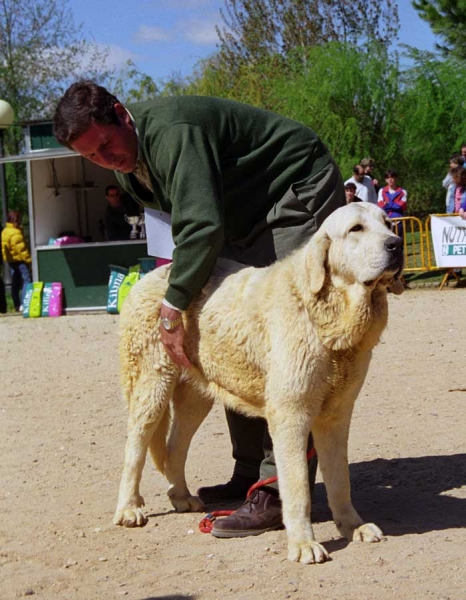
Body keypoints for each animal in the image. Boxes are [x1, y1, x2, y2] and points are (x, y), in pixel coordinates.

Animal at [114, 204, 404, 564]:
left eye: (388, 224)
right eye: (356, 229)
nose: (396, 244)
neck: (325, 314)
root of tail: (152, 275)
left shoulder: (336, 416)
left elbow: (340, 481)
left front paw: (353, 527)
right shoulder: (291, 415)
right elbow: (297, 487)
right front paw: (303, 543)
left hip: (196, 397)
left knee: (175, 446)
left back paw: (181, 496)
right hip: (151, 387)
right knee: (135, 448)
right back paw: (128, 508)